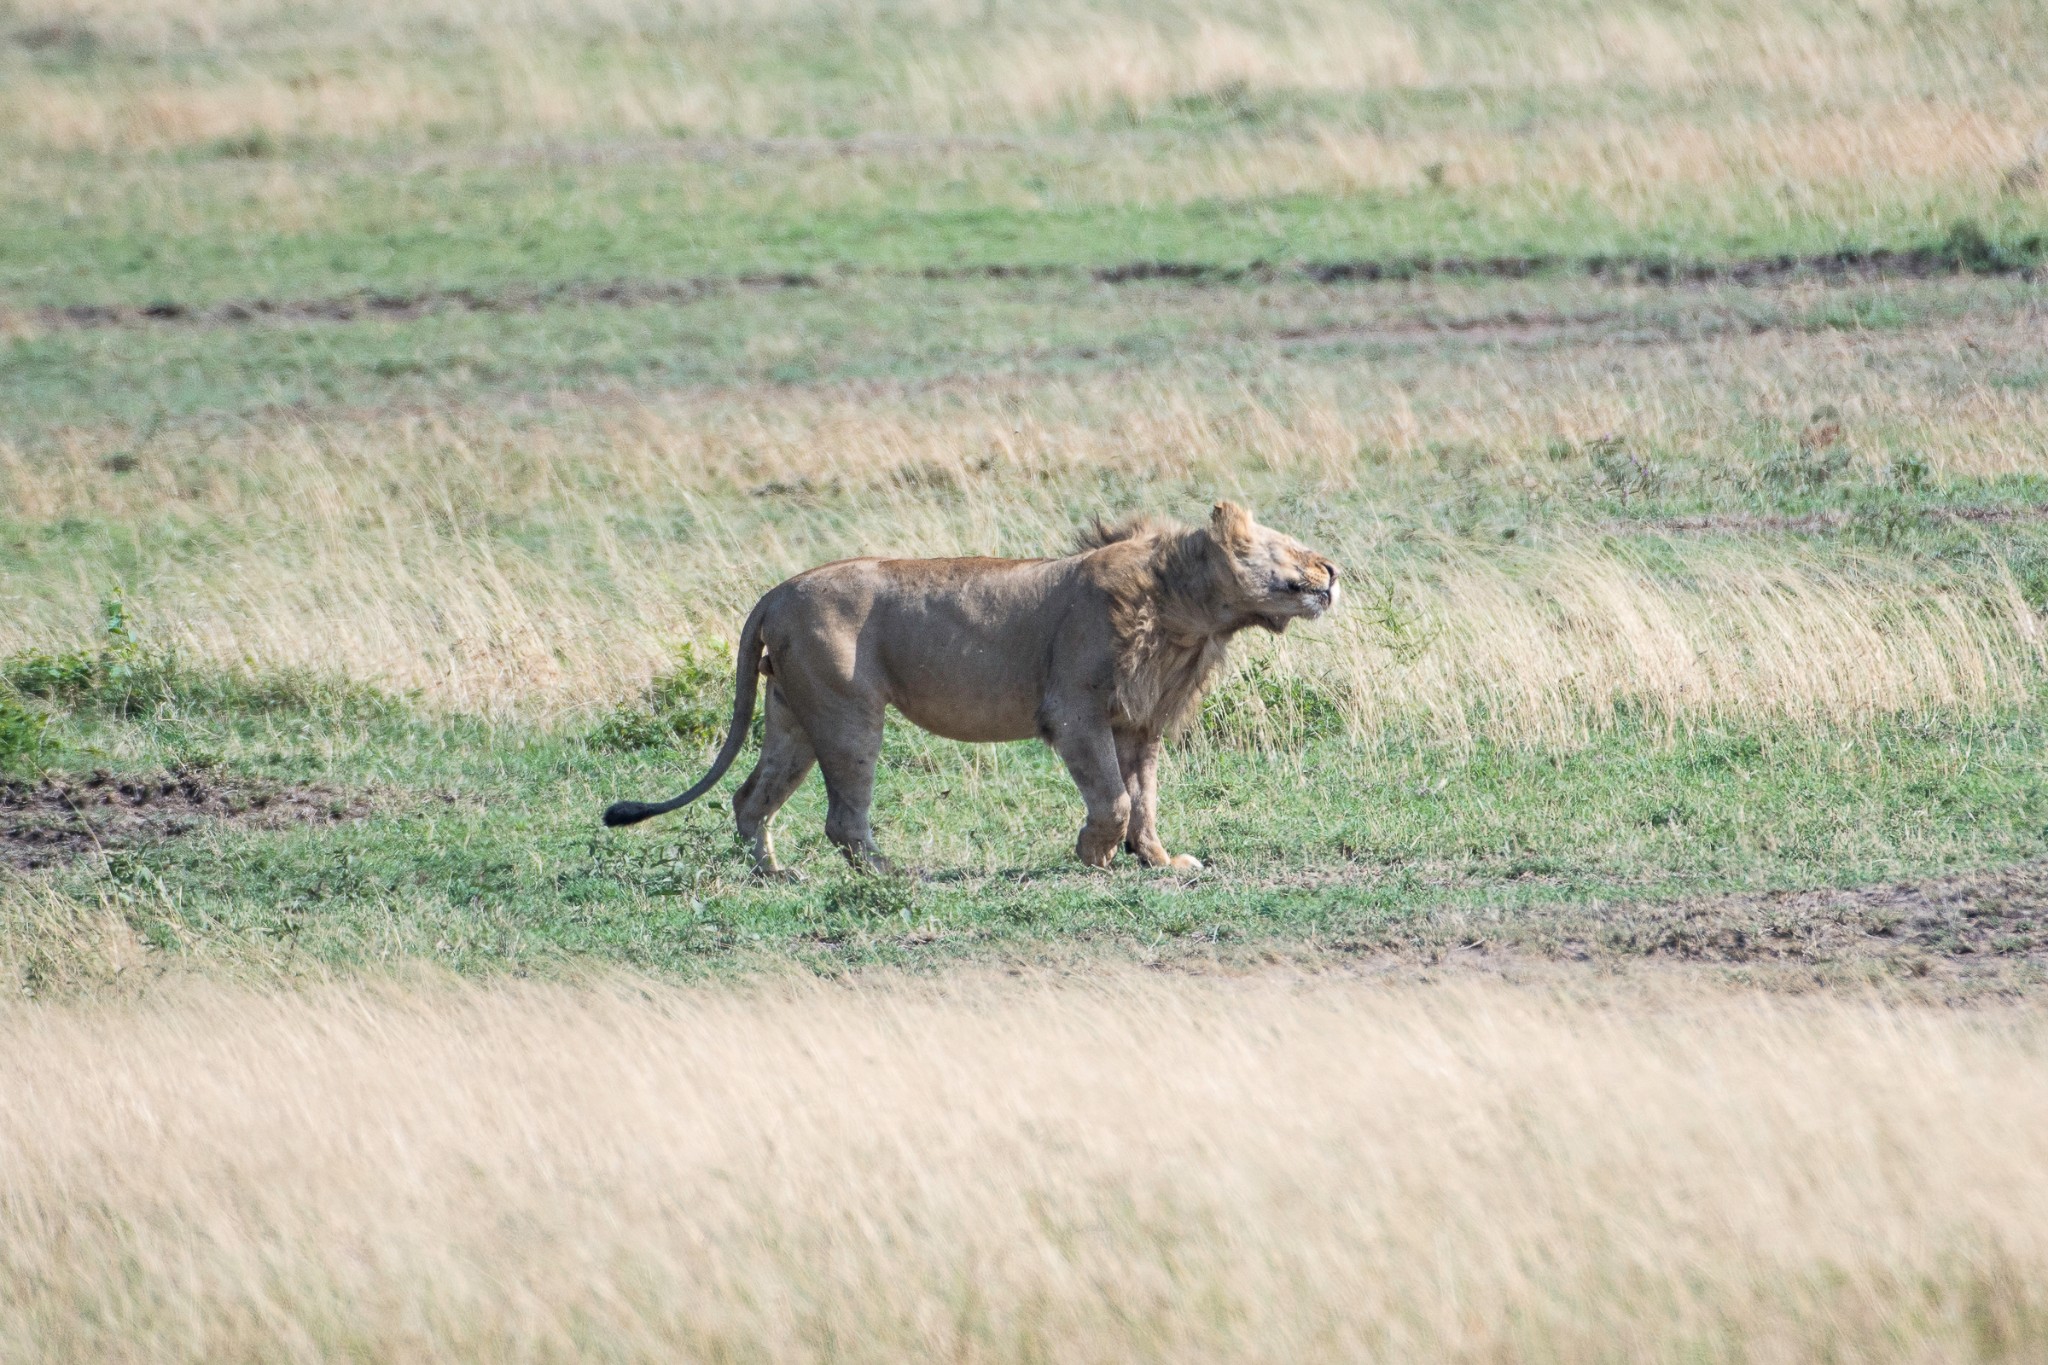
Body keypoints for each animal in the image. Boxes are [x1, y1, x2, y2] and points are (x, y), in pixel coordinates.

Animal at [602, 501, 1343, 875]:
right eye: (1286, 547)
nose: (1333, 568)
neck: (1187, 609)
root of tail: (777, 590)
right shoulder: (1074, 714)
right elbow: (1112, 799)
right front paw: (1094, 857)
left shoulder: (1140, 721)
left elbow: (1145, 800)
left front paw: (1159, 860)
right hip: (847, 711)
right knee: (842, 816)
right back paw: (889, 872)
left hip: (792, 715)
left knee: (750, 797)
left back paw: (775, 874)